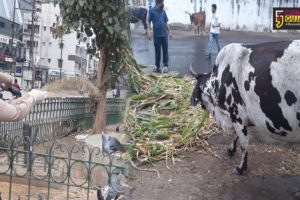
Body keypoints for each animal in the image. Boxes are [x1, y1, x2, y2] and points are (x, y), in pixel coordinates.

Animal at [191, 40, 298, 175]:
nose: (201, 106)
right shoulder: (240, 117)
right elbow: (237, 136)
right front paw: (231, 149)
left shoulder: (236, 114)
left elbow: (244, 143)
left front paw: (241, 167)